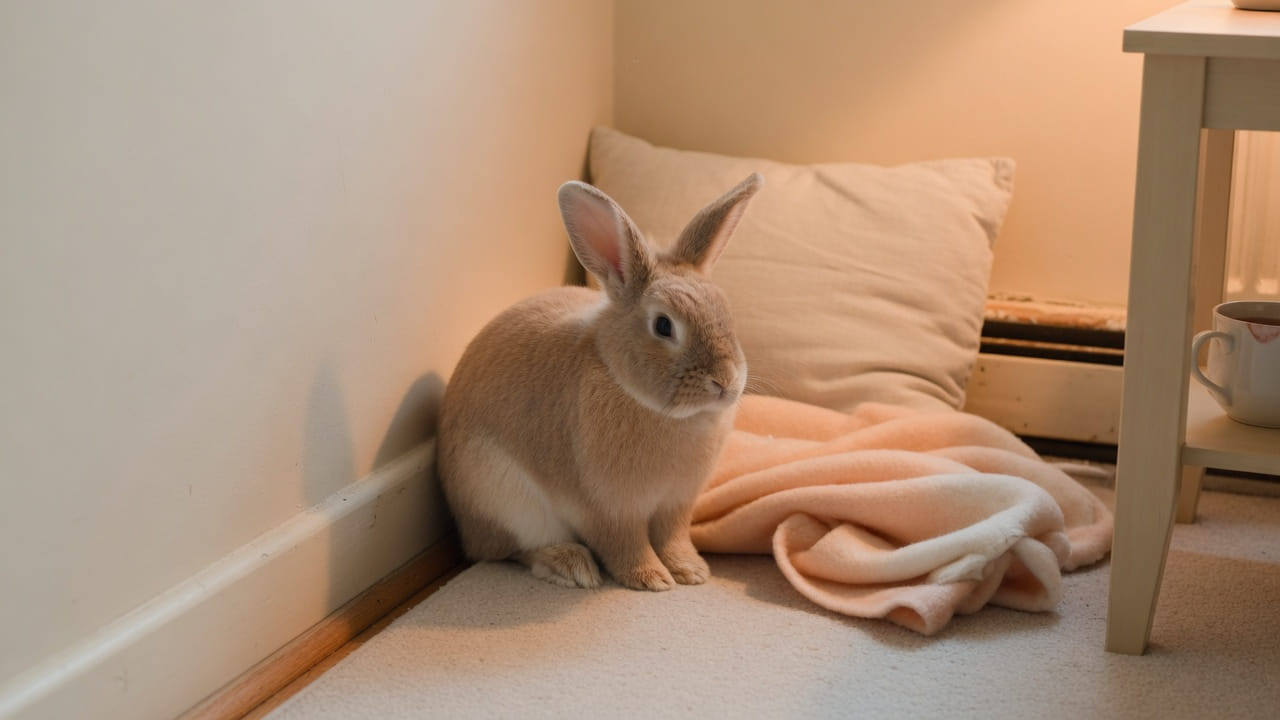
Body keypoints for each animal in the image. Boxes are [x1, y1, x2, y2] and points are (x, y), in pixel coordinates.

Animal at [437, 173, 762, 591]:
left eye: (725, 312)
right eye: (663, 326)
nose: (725, 381)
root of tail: (466, 527)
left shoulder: (677, 504)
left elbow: (673, 538)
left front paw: (691, 571)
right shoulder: (606, 509)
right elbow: (625, 545)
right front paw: (652, 579)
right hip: (504, 500)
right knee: (508, 549)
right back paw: (569, 565)